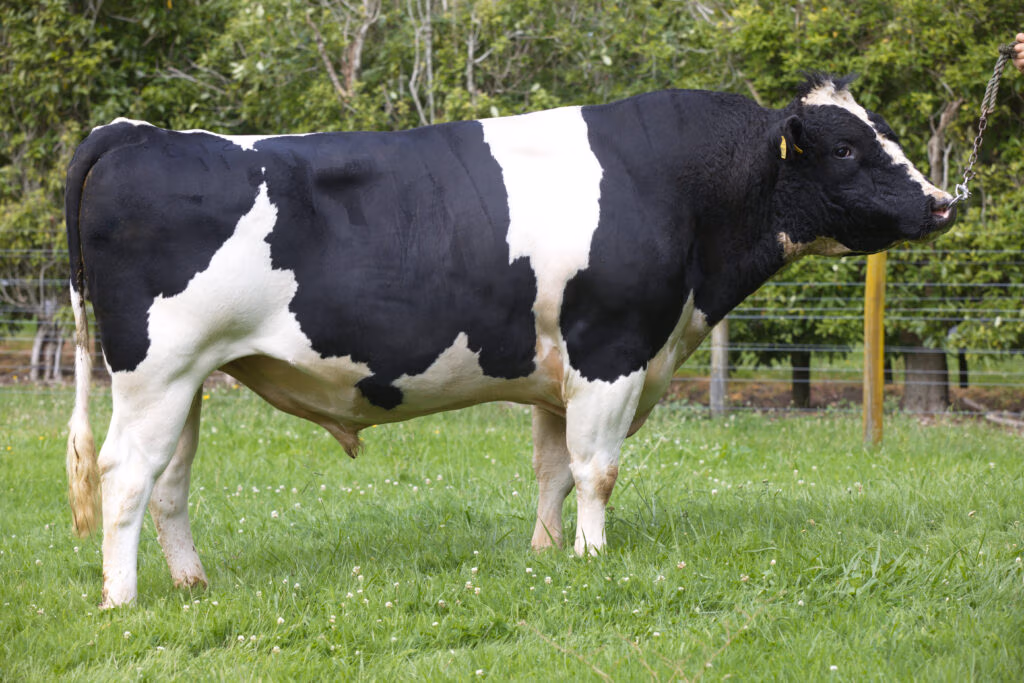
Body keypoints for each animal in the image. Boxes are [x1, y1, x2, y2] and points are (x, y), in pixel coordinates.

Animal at [65, 73, 955, 607]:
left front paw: (545, 551)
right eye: (846, 146)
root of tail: (141, 132)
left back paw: (190, 581)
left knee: (170, 481)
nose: (945, 201)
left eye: (881, 130)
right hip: (155, 370)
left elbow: (552, 469)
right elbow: (597, 471)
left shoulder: (560, 370)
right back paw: (120, 598)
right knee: (125, 475)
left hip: (189, 379)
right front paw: (592, 556)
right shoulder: (611, 350)